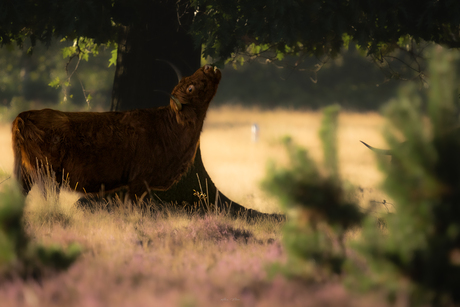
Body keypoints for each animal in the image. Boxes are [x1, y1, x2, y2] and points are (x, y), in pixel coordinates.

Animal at [12, 63, 221, 201]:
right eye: (190, 87)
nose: (208, 67)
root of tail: (23, 116)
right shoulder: (139, 181)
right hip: (47, 175)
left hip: (25, 174)